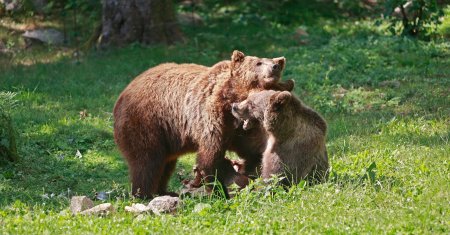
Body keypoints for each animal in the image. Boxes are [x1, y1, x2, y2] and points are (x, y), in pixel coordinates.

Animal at [114, 50, 294, 197]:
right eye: (258, 63)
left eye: (274, 62)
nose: (275, 66)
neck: (233, 98)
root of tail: (122, 95)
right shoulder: (212, 116)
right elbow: (210, 156)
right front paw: (217, 189)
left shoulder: (241, 127)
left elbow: (253, 149)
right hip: (147, 122)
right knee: (147, 161)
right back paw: (143, 194)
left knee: (165, 164)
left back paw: (164, 191)